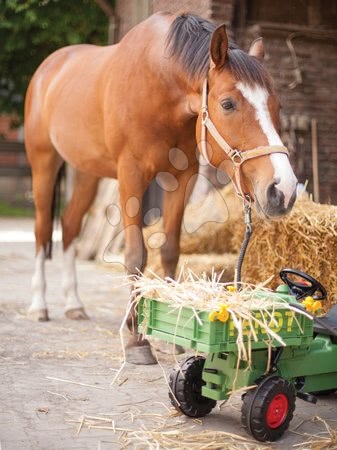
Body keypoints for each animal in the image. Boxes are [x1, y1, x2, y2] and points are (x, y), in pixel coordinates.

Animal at [25, 13, 296, 366]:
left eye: (277, 105)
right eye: (228, 104)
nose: (284, 189)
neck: (158, 85)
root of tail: (49, 67)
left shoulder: (182, 177)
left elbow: (169, 250)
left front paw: (173, 334)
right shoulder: (131, 175)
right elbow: (135, 255)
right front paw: (136, 340)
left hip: (85, 171)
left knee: (69, 226)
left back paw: (74, 304)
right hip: (44, 164)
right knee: (43, 230)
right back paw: (39, 305)